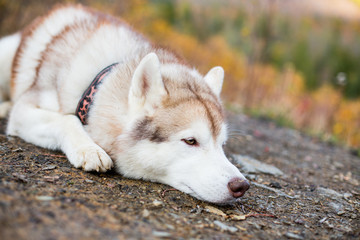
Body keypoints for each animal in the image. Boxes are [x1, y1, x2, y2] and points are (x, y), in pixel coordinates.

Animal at [0, 4, 249, 203]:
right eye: (190, 141)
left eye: (222, 144)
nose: (242, 185)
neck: (101, 78)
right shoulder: (24, 110)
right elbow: (67, 119)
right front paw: (89, 148)